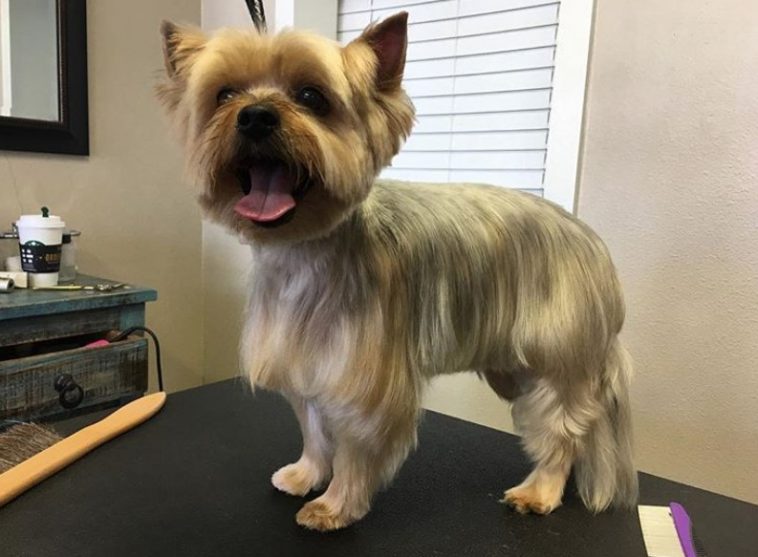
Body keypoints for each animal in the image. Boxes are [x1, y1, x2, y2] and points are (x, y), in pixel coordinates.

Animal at [157, 10, 640, 528]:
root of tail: (590, 239)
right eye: (225, 95)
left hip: (559, 355)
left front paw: (335, 505)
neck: (303, 249)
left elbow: (354, 445)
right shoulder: (307, 362)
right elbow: (313, 428)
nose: (256, 115)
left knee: (562, 427)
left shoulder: (363, 379)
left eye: (311, 96)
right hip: (514, 368)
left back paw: (541, 490)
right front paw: (307, 475)